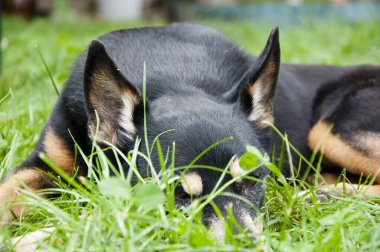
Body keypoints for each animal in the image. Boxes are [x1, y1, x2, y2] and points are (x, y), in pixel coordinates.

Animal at [0, 24, 380, 242]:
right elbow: (8, 190)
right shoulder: (44, 163)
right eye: (178, 195)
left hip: (329, 130)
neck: (171, 79)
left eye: (254, 181)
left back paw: (320, 196)